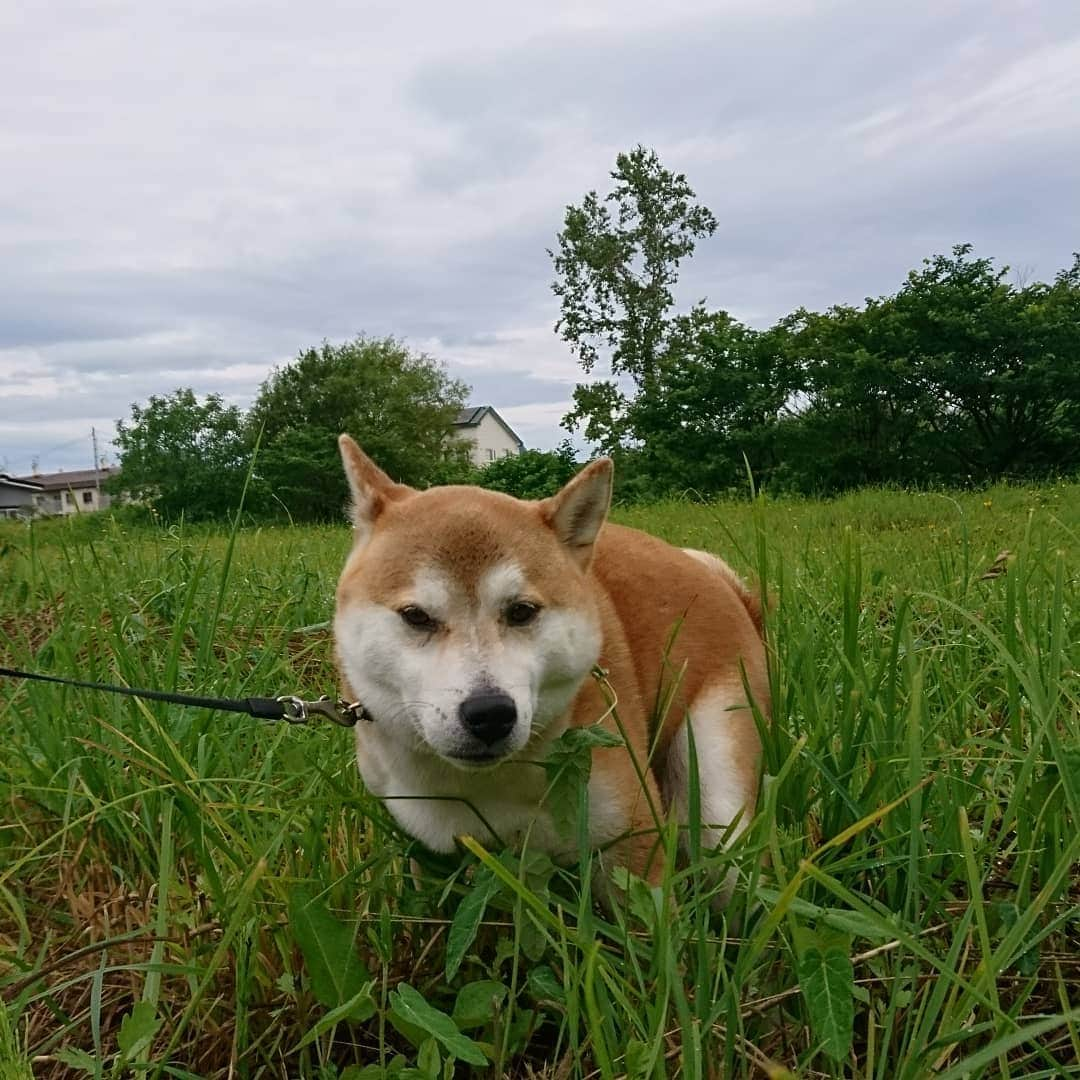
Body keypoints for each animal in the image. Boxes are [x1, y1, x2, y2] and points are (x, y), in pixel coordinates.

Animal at [334, 434, 768, 889]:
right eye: (416, 616)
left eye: (521, 611)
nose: (490, 714)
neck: (490, 787)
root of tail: (729, 591)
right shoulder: (428, 853)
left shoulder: (632, 844)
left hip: (718, 792)